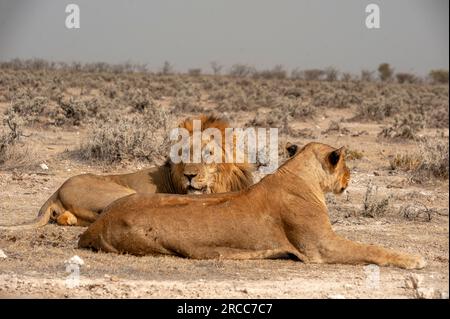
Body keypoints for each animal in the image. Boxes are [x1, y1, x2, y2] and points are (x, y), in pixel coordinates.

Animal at [79, 142, 428, 270]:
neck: (300, 174)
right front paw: (414, 259)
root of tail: (94, 227)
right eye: (345, 165)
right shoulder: (321, 247)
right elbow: (372, 248)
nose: (349, 178)